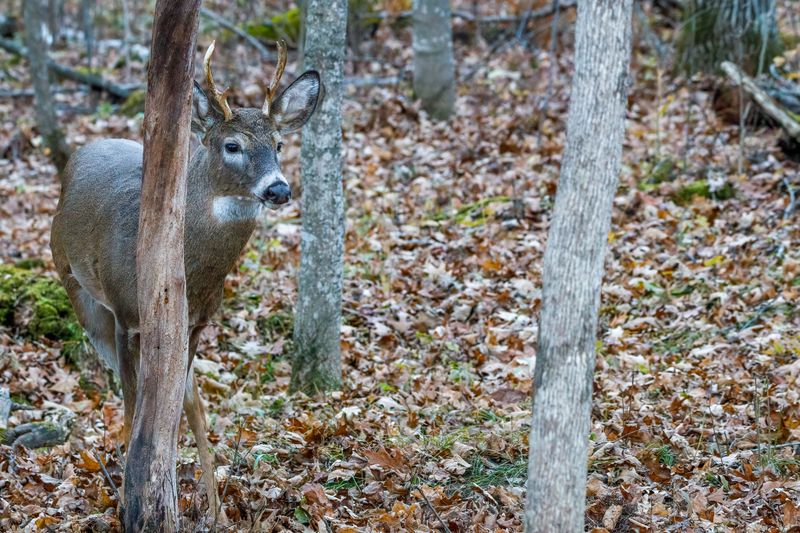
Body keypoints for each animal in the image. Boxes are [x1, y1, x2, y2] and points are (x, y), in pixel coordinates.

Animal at [50, 41, 320, 520]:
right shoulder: (126, 315)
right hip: (78, 288)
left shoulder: (195, 325)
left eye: (279, 143)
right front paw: (131, 504)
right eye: (232, 145)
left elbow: (185, 407)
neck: (190, 277)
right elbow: (134, 405)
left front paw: (211, 510)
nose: (278, 189)